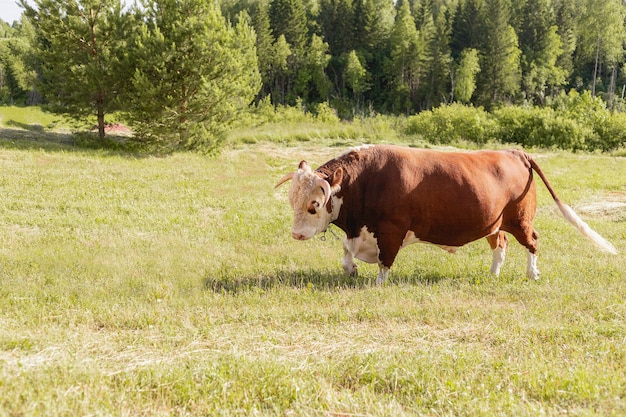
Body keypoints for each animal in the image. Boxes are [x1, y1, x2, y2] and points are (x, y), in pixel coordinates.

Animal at [274, 144, 616, 282]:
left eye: (313, 205)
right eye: (292, 201)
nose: (296, 234)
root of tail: (514, 151)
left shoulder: (391, 231)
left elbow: (385, 262)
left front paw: (378, 283)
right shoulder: (359, 232)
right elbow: (346, 255)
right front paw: (353, 270)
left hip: (521, 220)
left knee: (532, 241)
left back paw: (532, 274)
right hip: (495, 223)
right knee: (500, 244)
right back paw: (493, 274)